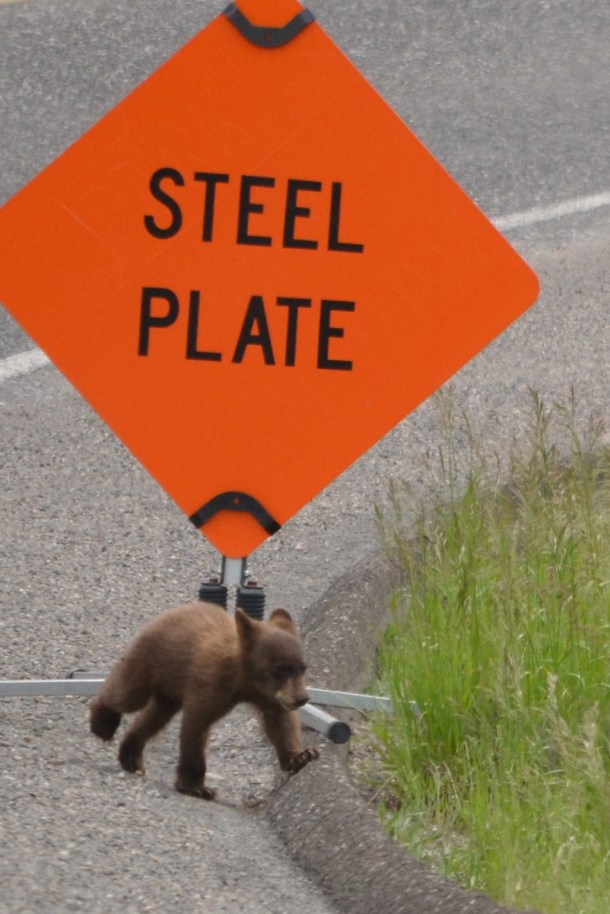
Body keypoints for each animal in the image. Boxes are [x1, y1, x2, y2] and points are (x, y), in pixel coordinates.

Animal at [89, 602, 319, 798]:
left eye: (302, 667)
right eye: (279, 670)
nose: (302, 698)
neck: (244, 679)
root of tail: (172, 611)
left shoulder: (270, 697)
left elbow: (281, 724)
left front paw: (303, 756)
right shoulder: (211, 683)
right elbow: (197, 723)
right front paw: (197, 787)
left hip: (170, 689)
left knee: (155, 717)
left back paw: (131, 758)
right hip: (151, 660)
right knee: (128, 695)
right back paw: (102, 724)